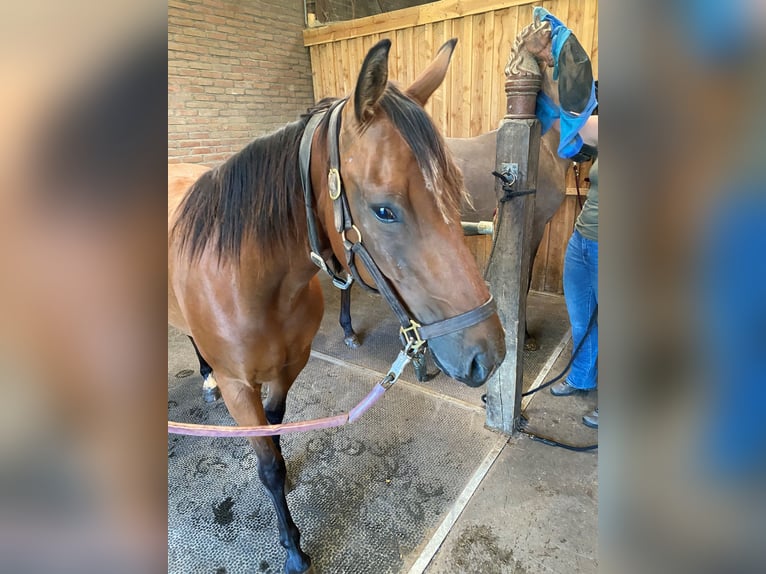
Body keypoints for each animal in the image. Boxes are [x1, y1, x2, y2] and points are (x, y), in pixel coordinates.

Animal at [169, 38, 508, 572]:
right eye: (384, 210)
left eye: (454, 192)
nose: (488, 354)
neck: (251, 283)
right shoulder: (239, 388)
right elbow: (267, 464)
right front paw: (292, 547)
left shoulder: (287, 370)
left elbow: (277, 439)